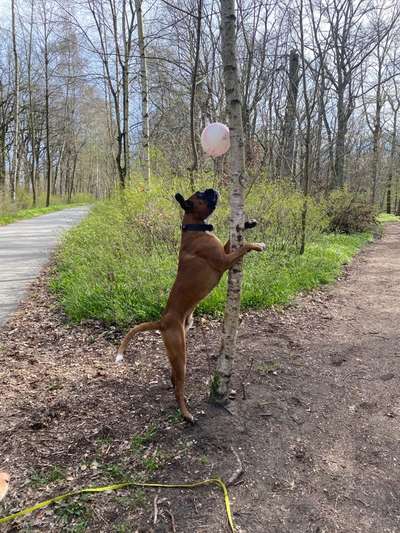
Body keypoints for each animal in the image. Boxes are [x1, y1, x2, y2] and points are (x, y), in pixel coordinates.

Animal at [115, 189, 266, 422]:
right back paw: (186, 414)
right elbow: (244, 247)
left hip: (178, 347)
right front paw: (257, 245)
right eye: (201, 195)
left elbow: (232, 240)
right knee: (179, 387)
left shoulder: (224, 251)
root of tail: (162, 321)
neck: (194, 228)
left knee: (173, 378)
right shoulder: (224, 261)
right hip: (181, 354)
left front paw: (248, 223)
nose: (212, 189)